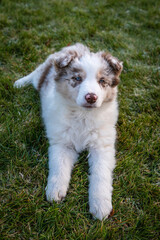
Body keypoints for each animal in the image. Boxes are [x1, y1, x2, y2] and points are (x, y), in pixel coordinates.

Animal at [14, 42, 122, 219]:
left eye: (102, 81)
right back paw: (19, 83)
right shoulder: (62, 143)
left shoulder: (102, 145)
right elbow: (59, 166)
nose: (91, 97)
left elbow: (101, 173)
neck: (83, 116)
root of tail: (75, 46)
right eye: (77, 78)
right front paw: (55, 191)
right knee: (35, 74)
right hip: (42, 74)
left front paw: (100, 205)